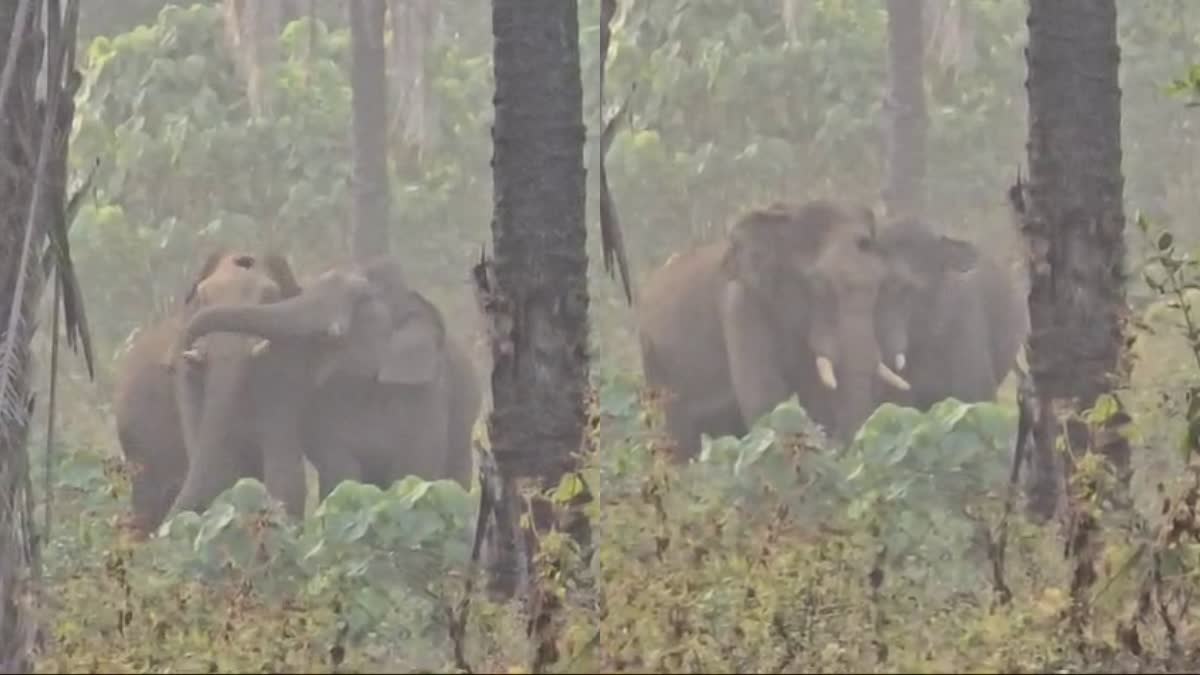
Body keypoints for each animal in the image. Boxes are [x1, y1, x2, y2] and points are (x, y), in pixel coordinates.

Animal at [175, 254, 482, 502]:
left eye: (361, 296)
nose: (188, 346)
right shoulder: (325, 406)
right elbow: (340, 470)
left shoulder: (427, 395)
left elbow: (414, 471)